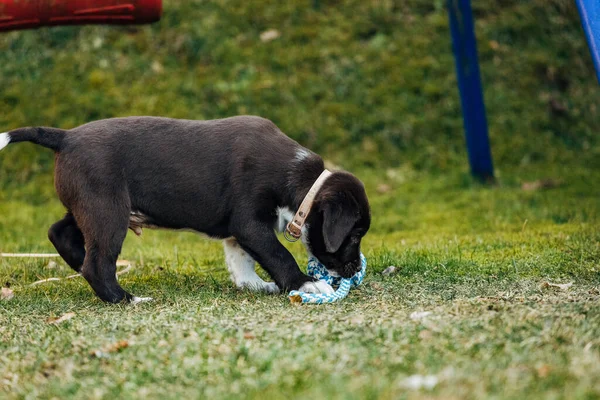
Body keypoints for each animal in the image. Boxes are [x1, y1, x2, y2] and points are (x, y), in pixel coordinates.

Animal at [1, 115, 370, 304]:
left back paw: (79, 265)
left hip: (88, 205)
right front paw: (306, 285)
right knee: (98, 262)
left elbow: (241, 258)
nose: (354, 269)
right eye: (354, 235)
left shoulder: (240, 229)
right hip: (107, 209)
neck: (301, 184)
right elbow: (278, 254)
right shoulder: (250, 222)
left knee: (60, 232)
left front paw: (252, 284)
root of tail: (65, 137)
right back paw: (125, 298)